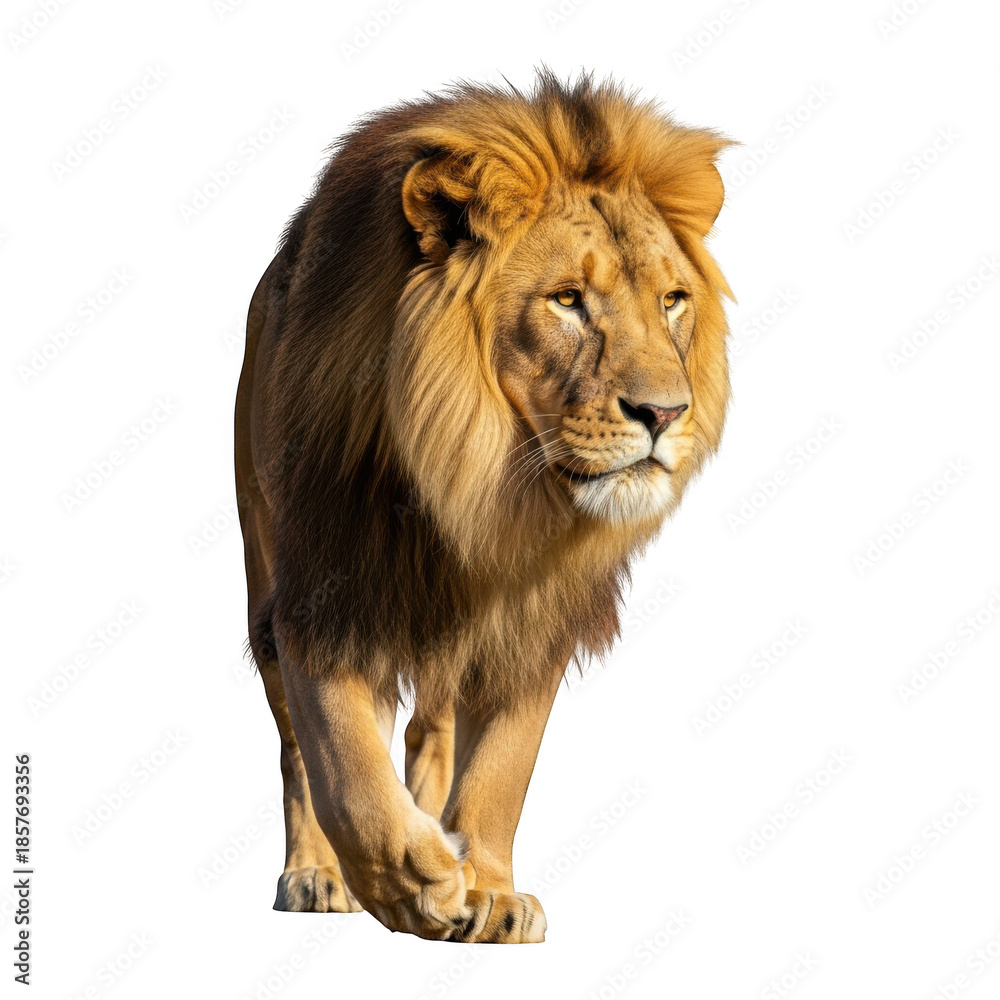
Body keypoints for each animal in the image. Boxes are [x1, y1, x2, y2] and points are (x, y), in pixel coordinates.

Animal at [234, 68, 734, 943]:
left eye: (673, 300)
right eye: (567, 300)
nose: (668, 413)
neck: (477, 484)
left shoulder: (537, 614)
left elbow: (505, 764)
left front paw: (490, 891)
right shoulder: (321, 589)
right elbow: (341, 760)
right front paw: (408, 879)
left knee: (430, 728)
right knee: (297, 748)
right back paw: (318, 874)